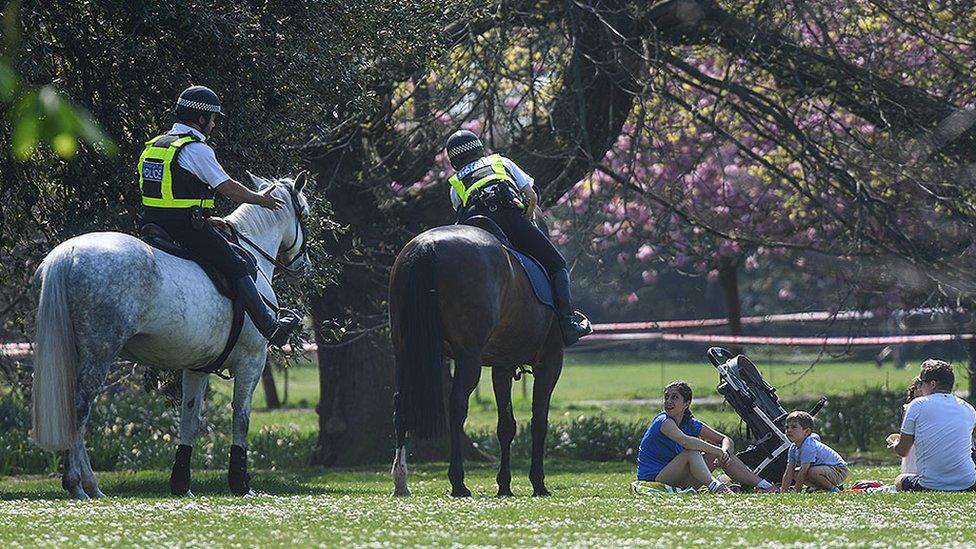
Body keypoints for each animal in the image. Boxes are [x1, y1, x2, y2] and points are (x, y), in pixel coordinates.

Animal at [30, 173, 310, 498]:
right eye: (304, 214)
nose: (305, 264)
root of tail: (68, 254)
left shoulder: (198, 367)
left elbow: (190, 420)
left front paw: (181, 483)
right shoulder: (252, 361)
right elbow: (241, 416)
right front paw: (241, 483)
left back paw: (90, 485)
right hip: (99, 352)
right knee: (79, 408)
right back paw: (78, 484)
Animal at [390, 223, 564, 496]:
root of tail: (427, 246)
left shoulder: (502, 365)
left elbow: (506, 426)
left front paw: (504, 485)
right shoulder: (550, 361)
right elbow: (539, 421)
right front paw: (538, 482)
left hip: (404, 352)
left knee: (401, 404)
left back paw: (401, 481)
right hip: (469, 357)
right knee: (457, 405)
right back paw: (458, 482)